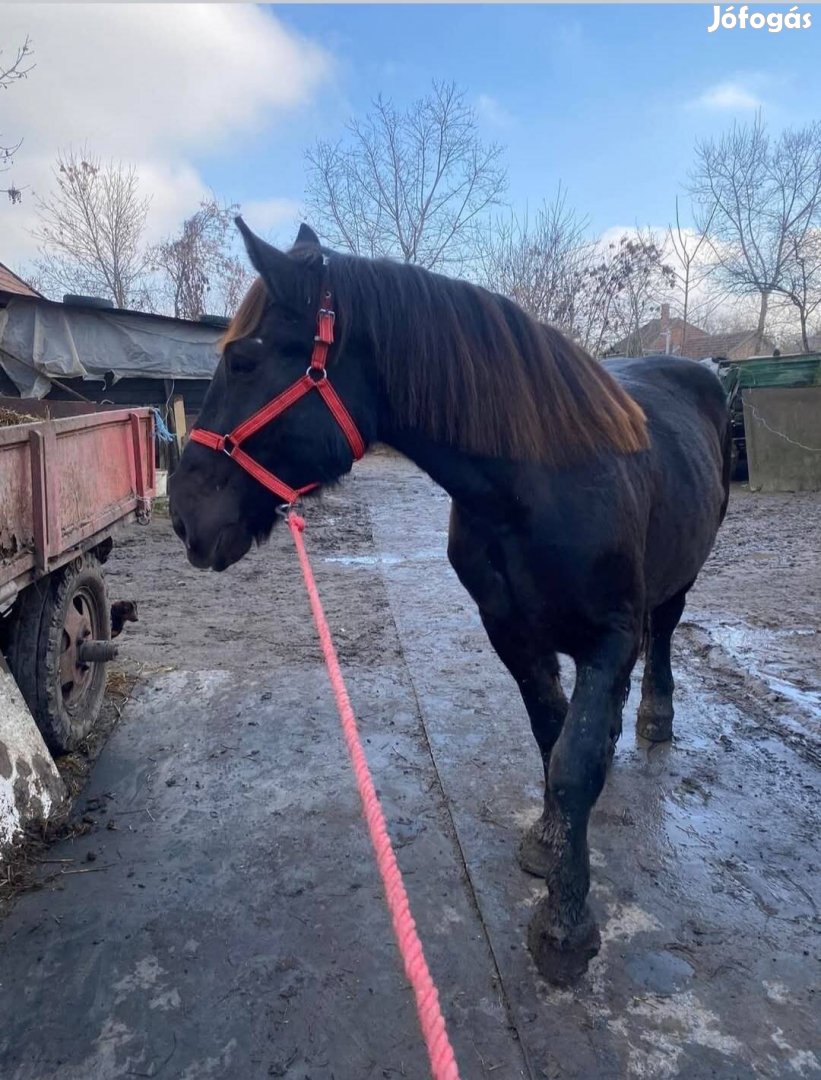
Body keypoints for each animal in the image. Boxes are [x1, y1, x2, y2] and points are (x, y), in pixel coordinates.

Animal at [168, 221, 730, 989]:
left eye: (243, 359)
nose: (181, 514)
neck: (540, 484)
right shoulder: (510, 632)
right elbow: (554, 737)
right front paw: (550, 844)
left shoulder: (609, 637)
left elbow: (574, 763)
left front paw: (566, 923)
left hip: (678, 581)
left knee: (666, 634)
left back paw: (655, 718)